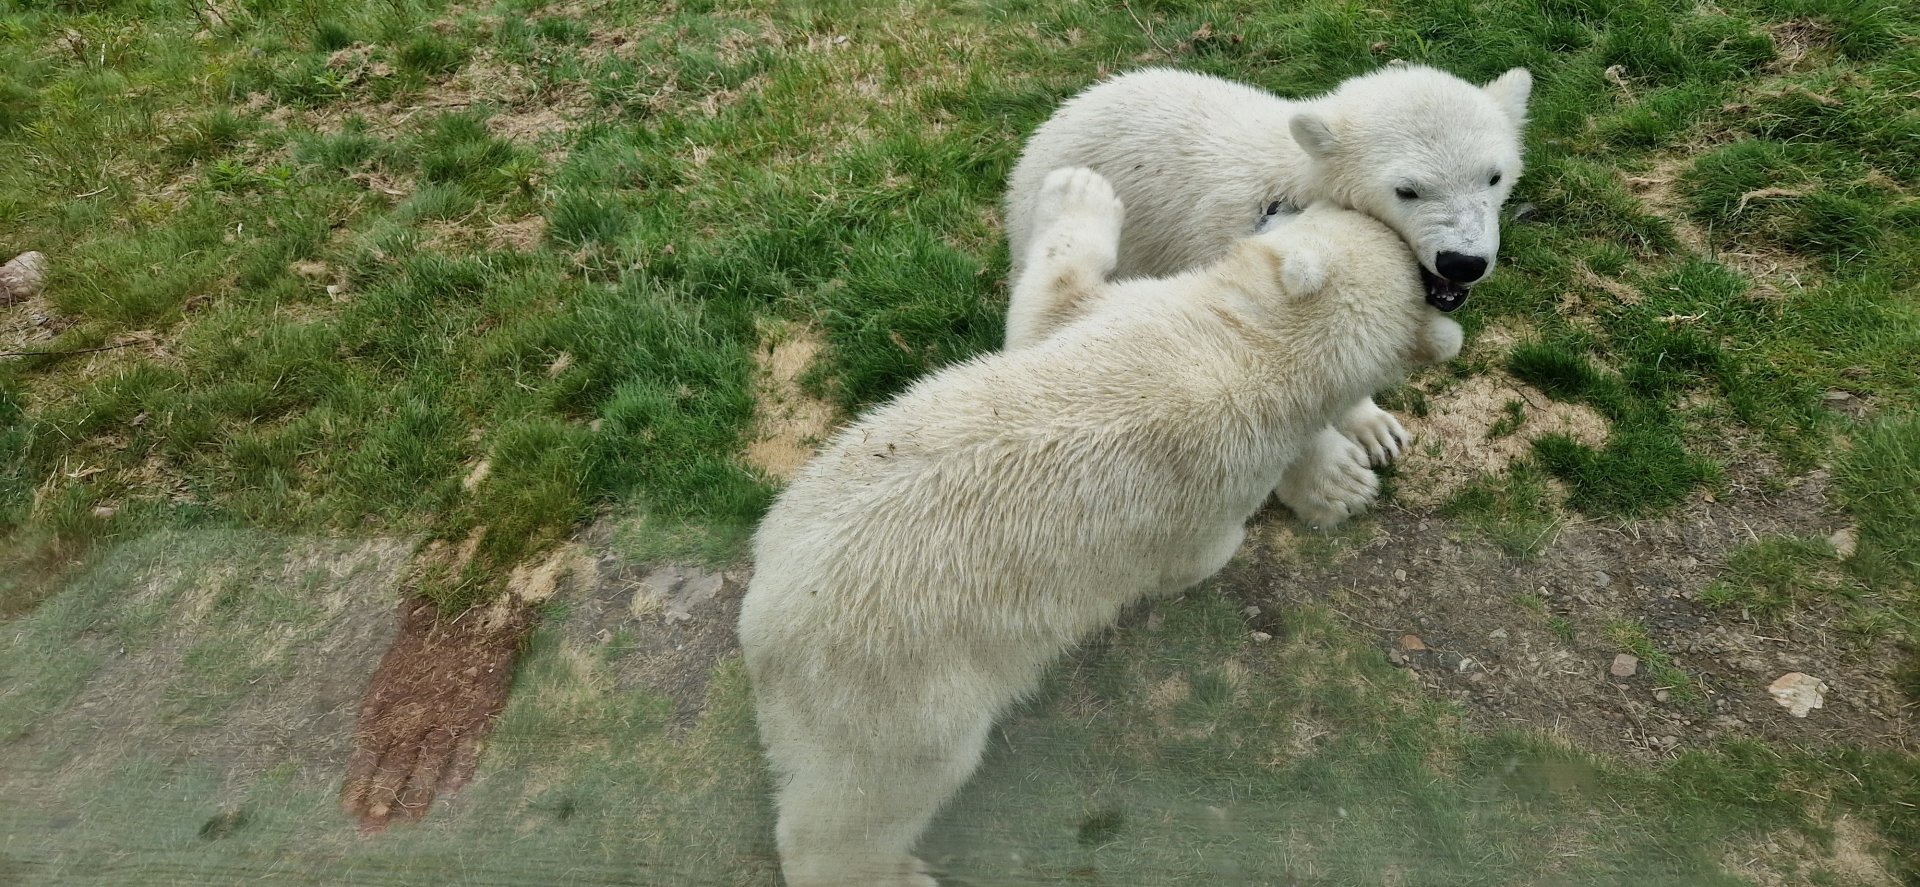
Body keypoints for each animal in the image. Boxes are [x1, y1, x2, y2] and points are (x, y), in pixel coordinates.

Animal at [739, 167, 1463, 887]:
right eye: (1321, 209)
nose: (1274, 202)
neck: (1247, 351)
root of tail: (766, 624)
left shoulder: (1211, 468)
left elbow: (1192, 553)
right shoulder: (1144, 330)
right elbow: (1051, 308)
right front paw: (1082, 188)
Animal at [1002, 64, 1530, 528]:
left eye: (1494, 176)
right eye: (1407, 190)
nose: (1462, 262)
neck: (1293, 187)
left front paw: (1375, 429)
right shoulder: (1226, 256)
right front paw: (1335, 484)